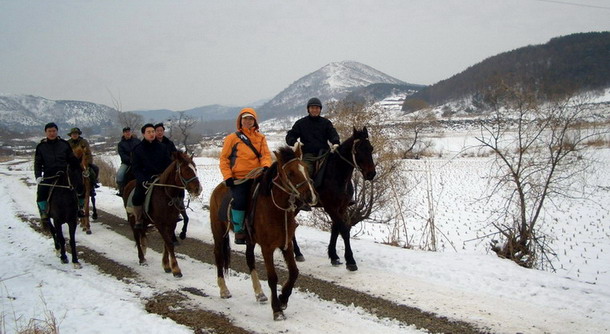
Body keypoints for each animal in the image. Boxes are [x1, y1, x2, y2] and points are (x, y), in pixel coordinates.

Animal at [208, 144, 314, 320]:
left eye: (305, 168)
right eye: (290, 173)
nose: (311, 196)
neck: (276, 210)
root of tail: (218, 188)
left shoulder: (287, 244)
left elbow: (294, 272)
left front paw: (283, 299)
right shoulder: (267, 248)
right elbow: (272, 278)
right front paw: (277, 310)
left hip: (249, 240)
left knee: (249, 259)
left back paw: (259, 293)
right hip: (218, 232)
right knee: (218, 255)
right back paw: (224, 290)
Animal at [294, 126, 376, 270]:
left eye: (370, 148)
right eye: (358, 149)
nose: (371, 174)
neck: (338, 175)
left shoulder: (341, 207)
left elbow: (335, 230)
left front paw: (334, 256)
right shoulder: (330, 207)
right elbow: (344, 230)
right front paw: (350, 260)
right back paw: (297, 252)